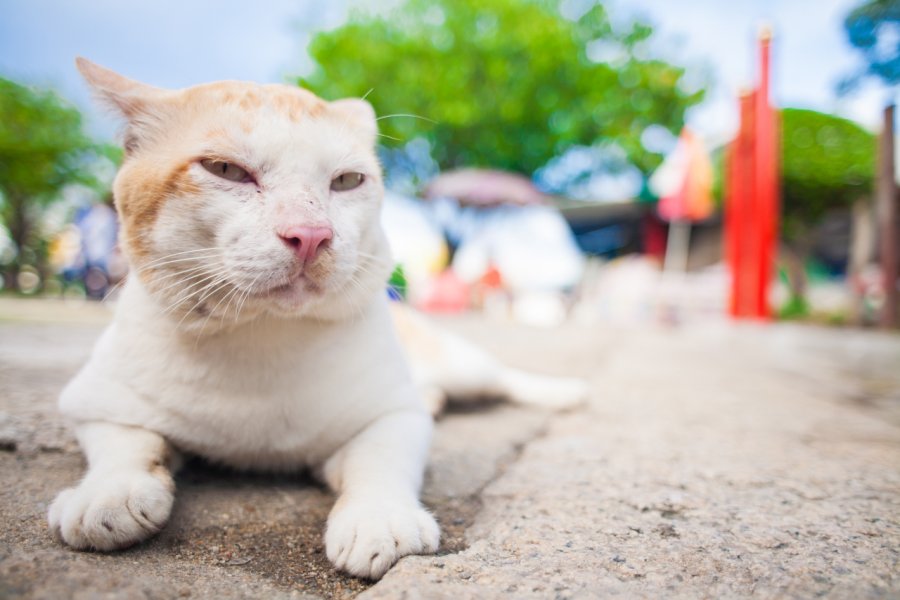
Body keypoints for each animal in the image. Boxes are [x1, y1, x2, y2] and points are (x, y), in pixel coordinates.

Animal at [49, 58, 588, 580]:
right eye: (226, 169)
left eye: (347, 181)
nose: (310, 234)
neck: (261, 337)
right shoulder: (93, 403)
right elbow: (127, 446)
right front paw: (107, 494)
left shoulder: (394, 414)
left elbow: (381, 460)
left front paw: (379, 516)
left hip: (463, 366)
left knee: (503, 377)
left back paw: (562, 393)